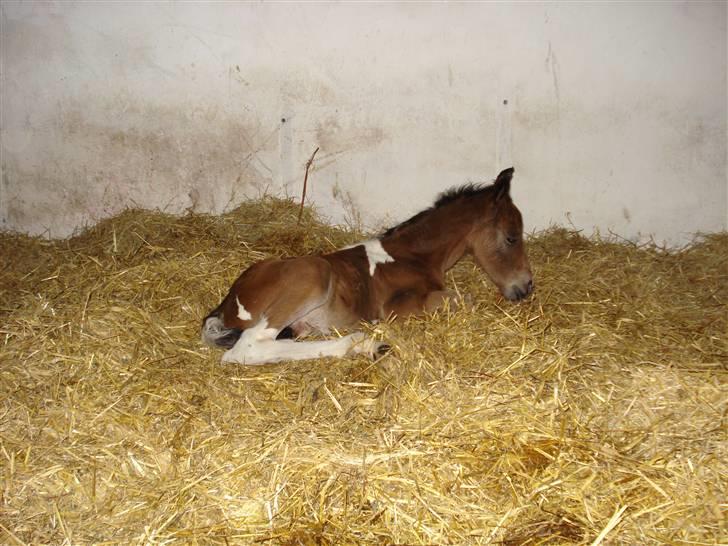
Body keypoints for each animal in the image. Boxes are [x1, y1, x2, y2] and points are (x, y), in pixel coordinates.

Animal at [202, 166, 532, 362]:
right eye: (512, 237)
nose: (527, 286)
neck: (414, 257)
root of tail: (227, 302)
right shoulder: (398, 307)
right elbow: (465, 300)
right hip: (315, 273)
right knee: (248, 347)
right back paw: (367, 344)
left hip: (300, 324)